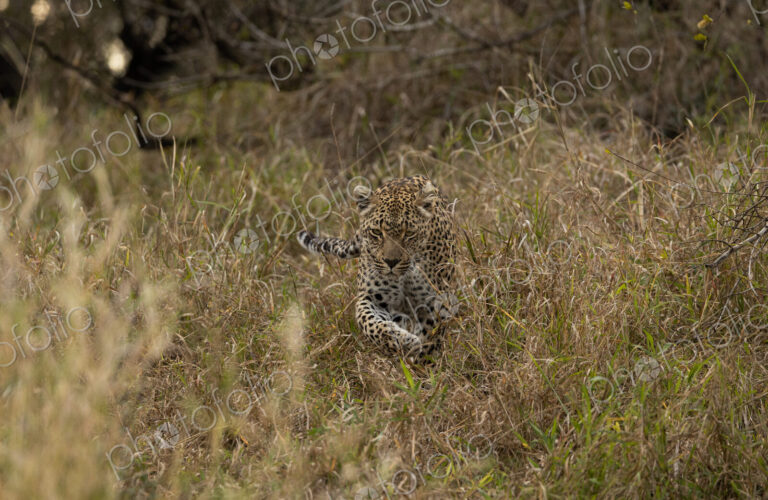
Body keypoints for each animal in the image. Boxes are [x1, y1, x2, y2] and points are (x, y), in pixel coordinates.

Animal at [296, 175, 458, 363]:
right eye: (377, 232)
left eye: (409, 233)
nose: (391, 262)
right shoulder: (372, 297)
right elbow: (371, 323)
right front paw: (401, 342)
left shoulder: (436, 301)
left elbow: (430, 336)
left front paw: (422, 361)